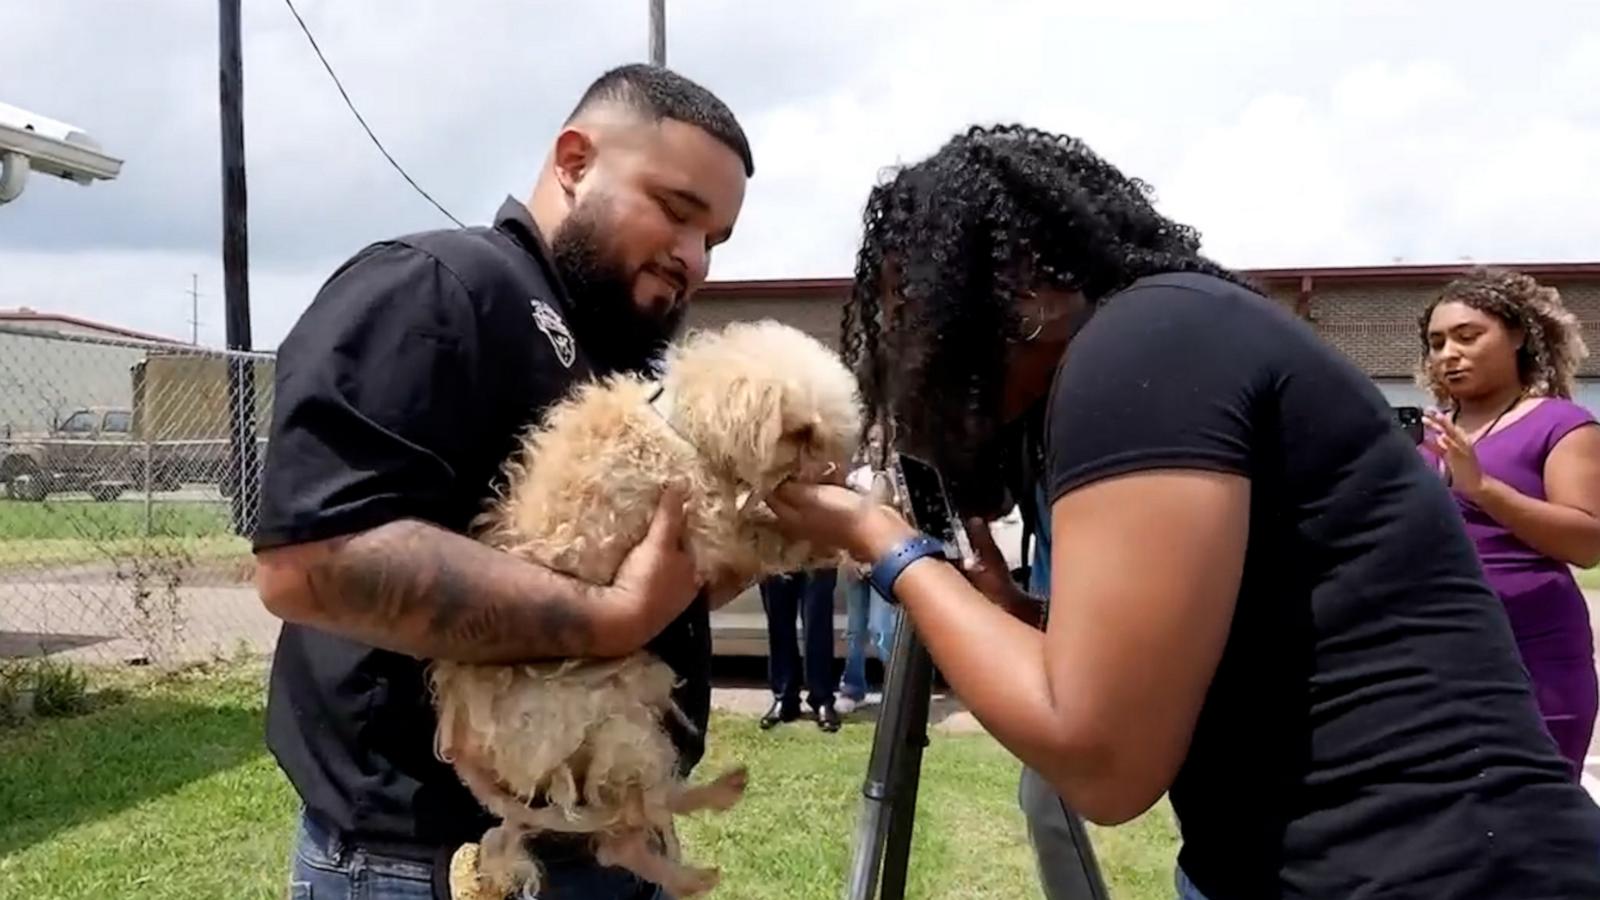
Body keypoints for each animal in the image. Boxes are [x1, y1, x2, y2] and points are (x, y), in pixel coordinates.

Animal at [428, 318, 864, 890]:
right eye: (803, 435)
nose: (837, 474)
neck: (678, 428)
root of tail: (462, 738)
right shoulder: (712, 528)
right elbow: (777, 537)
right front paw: (842, 542)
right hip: (611, 722)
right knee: (637, 815)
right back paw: (710, 828)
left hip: (620, 714)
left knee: (622, 832)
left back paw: (698, 857)